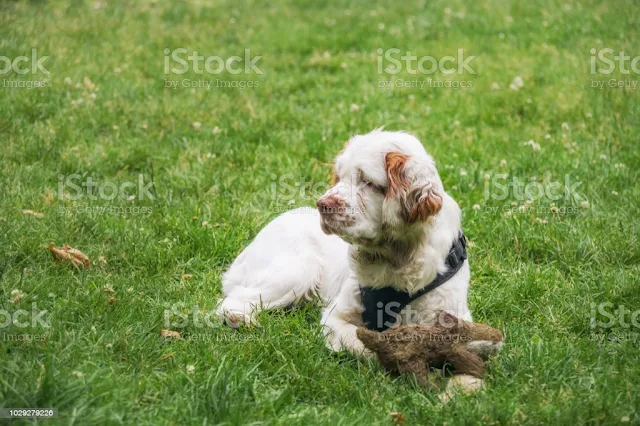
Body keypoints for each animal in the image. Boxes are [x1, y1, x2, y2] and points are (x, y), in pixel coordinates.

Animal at [218, 129, 478, 356]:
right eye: (340, 177)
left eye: (368, 182)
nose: (322, 205)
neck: (395, 257)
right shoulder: (336, 317)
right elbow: (366, 345)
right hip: (298, 271)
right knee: (232, 300)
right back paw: (240, 319)